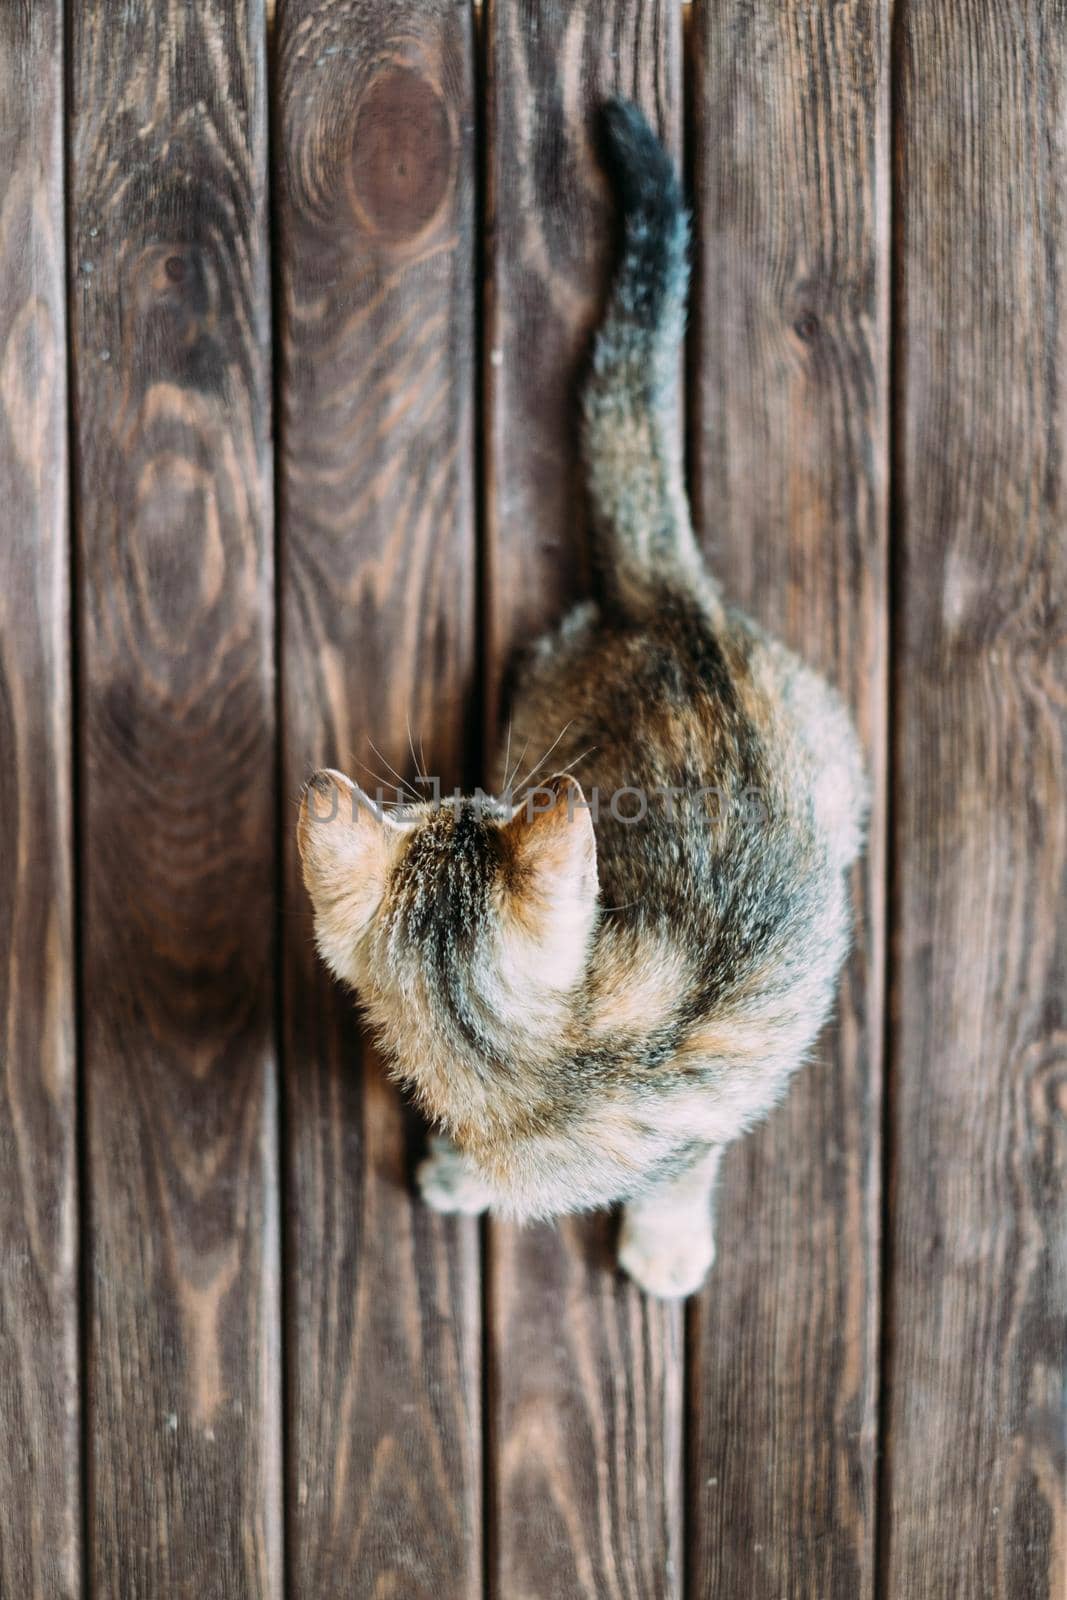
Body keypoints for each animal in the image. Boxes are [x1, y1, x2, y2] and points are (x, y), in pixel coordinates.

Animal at [294, 96, 870, 1299]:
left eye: (461, 807)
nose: (486, 795)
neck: (553, 1065)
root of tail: (674, 601)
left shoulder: (706, 1112)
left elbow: (686, 1165)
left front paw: (662, 1238)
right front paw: (466, 1172)